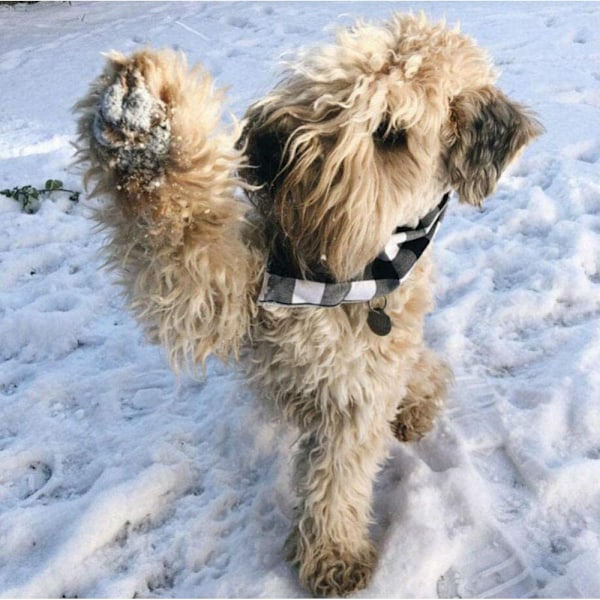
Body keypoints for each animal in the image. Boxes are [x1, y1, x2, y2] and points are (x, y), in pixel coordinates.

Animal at [72, 11, 540, 596]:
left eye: (391, 133)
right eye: (329, 76)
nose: (272, 147)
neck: (336, 270)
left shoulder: (361, 391)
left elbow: (337, 475)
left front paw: (332, 556)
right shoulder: (230, 289)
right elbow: (181, 235)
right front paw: (143, 121)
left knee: (428, 373)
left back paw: (414, 409)